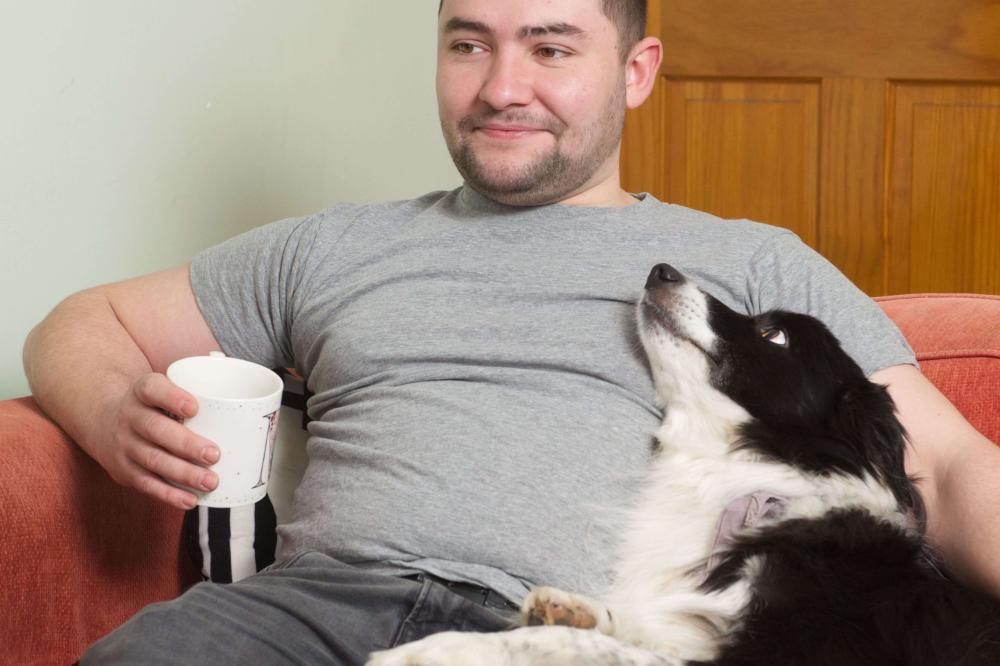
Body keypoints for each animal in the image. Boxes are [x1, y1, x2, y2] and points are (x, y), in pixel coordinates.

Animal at [370, 264, 1000, 664]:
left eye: (773, 333)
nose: (661, 270)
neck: (732, 467)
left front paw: (439, 648)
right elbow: (625, 630)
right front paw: (570, 611)